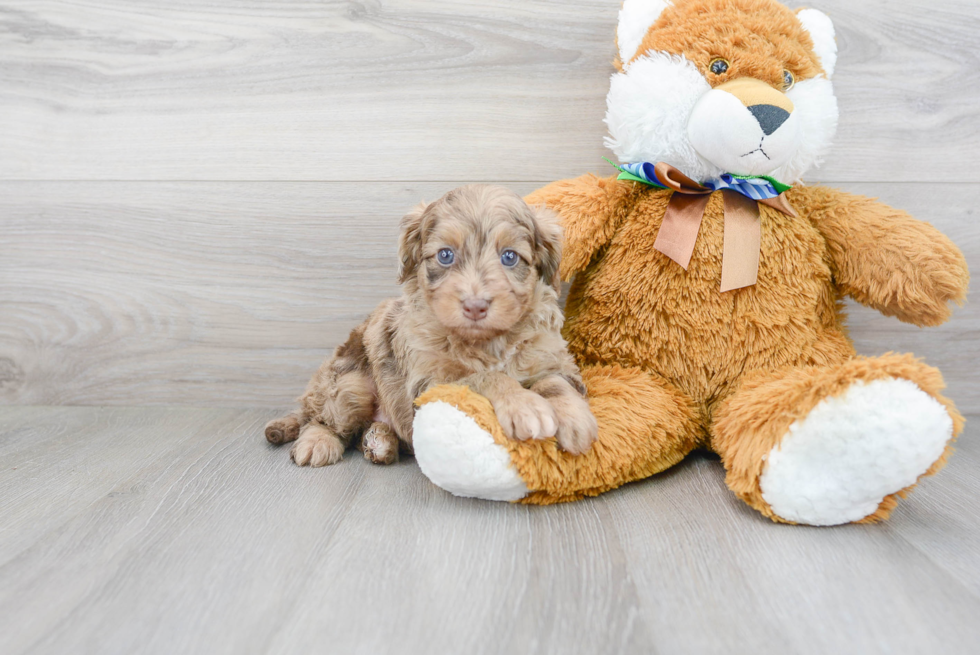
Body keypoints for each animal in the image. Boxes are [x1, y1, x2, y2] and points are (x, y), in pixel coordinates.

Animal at [264, 183, 596, 466]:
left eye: (510, 257)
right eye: (445, 255)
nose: (475, 306)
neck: (488, 342)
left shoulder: (553, 360)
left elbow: (554, 382)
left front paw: (575, 419)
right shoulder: (430, 383)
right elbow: (484, 377)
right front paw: (523, 404)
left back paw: (380, 441)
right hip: (348, 384)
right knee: (321, 419)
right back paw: (319, 441)